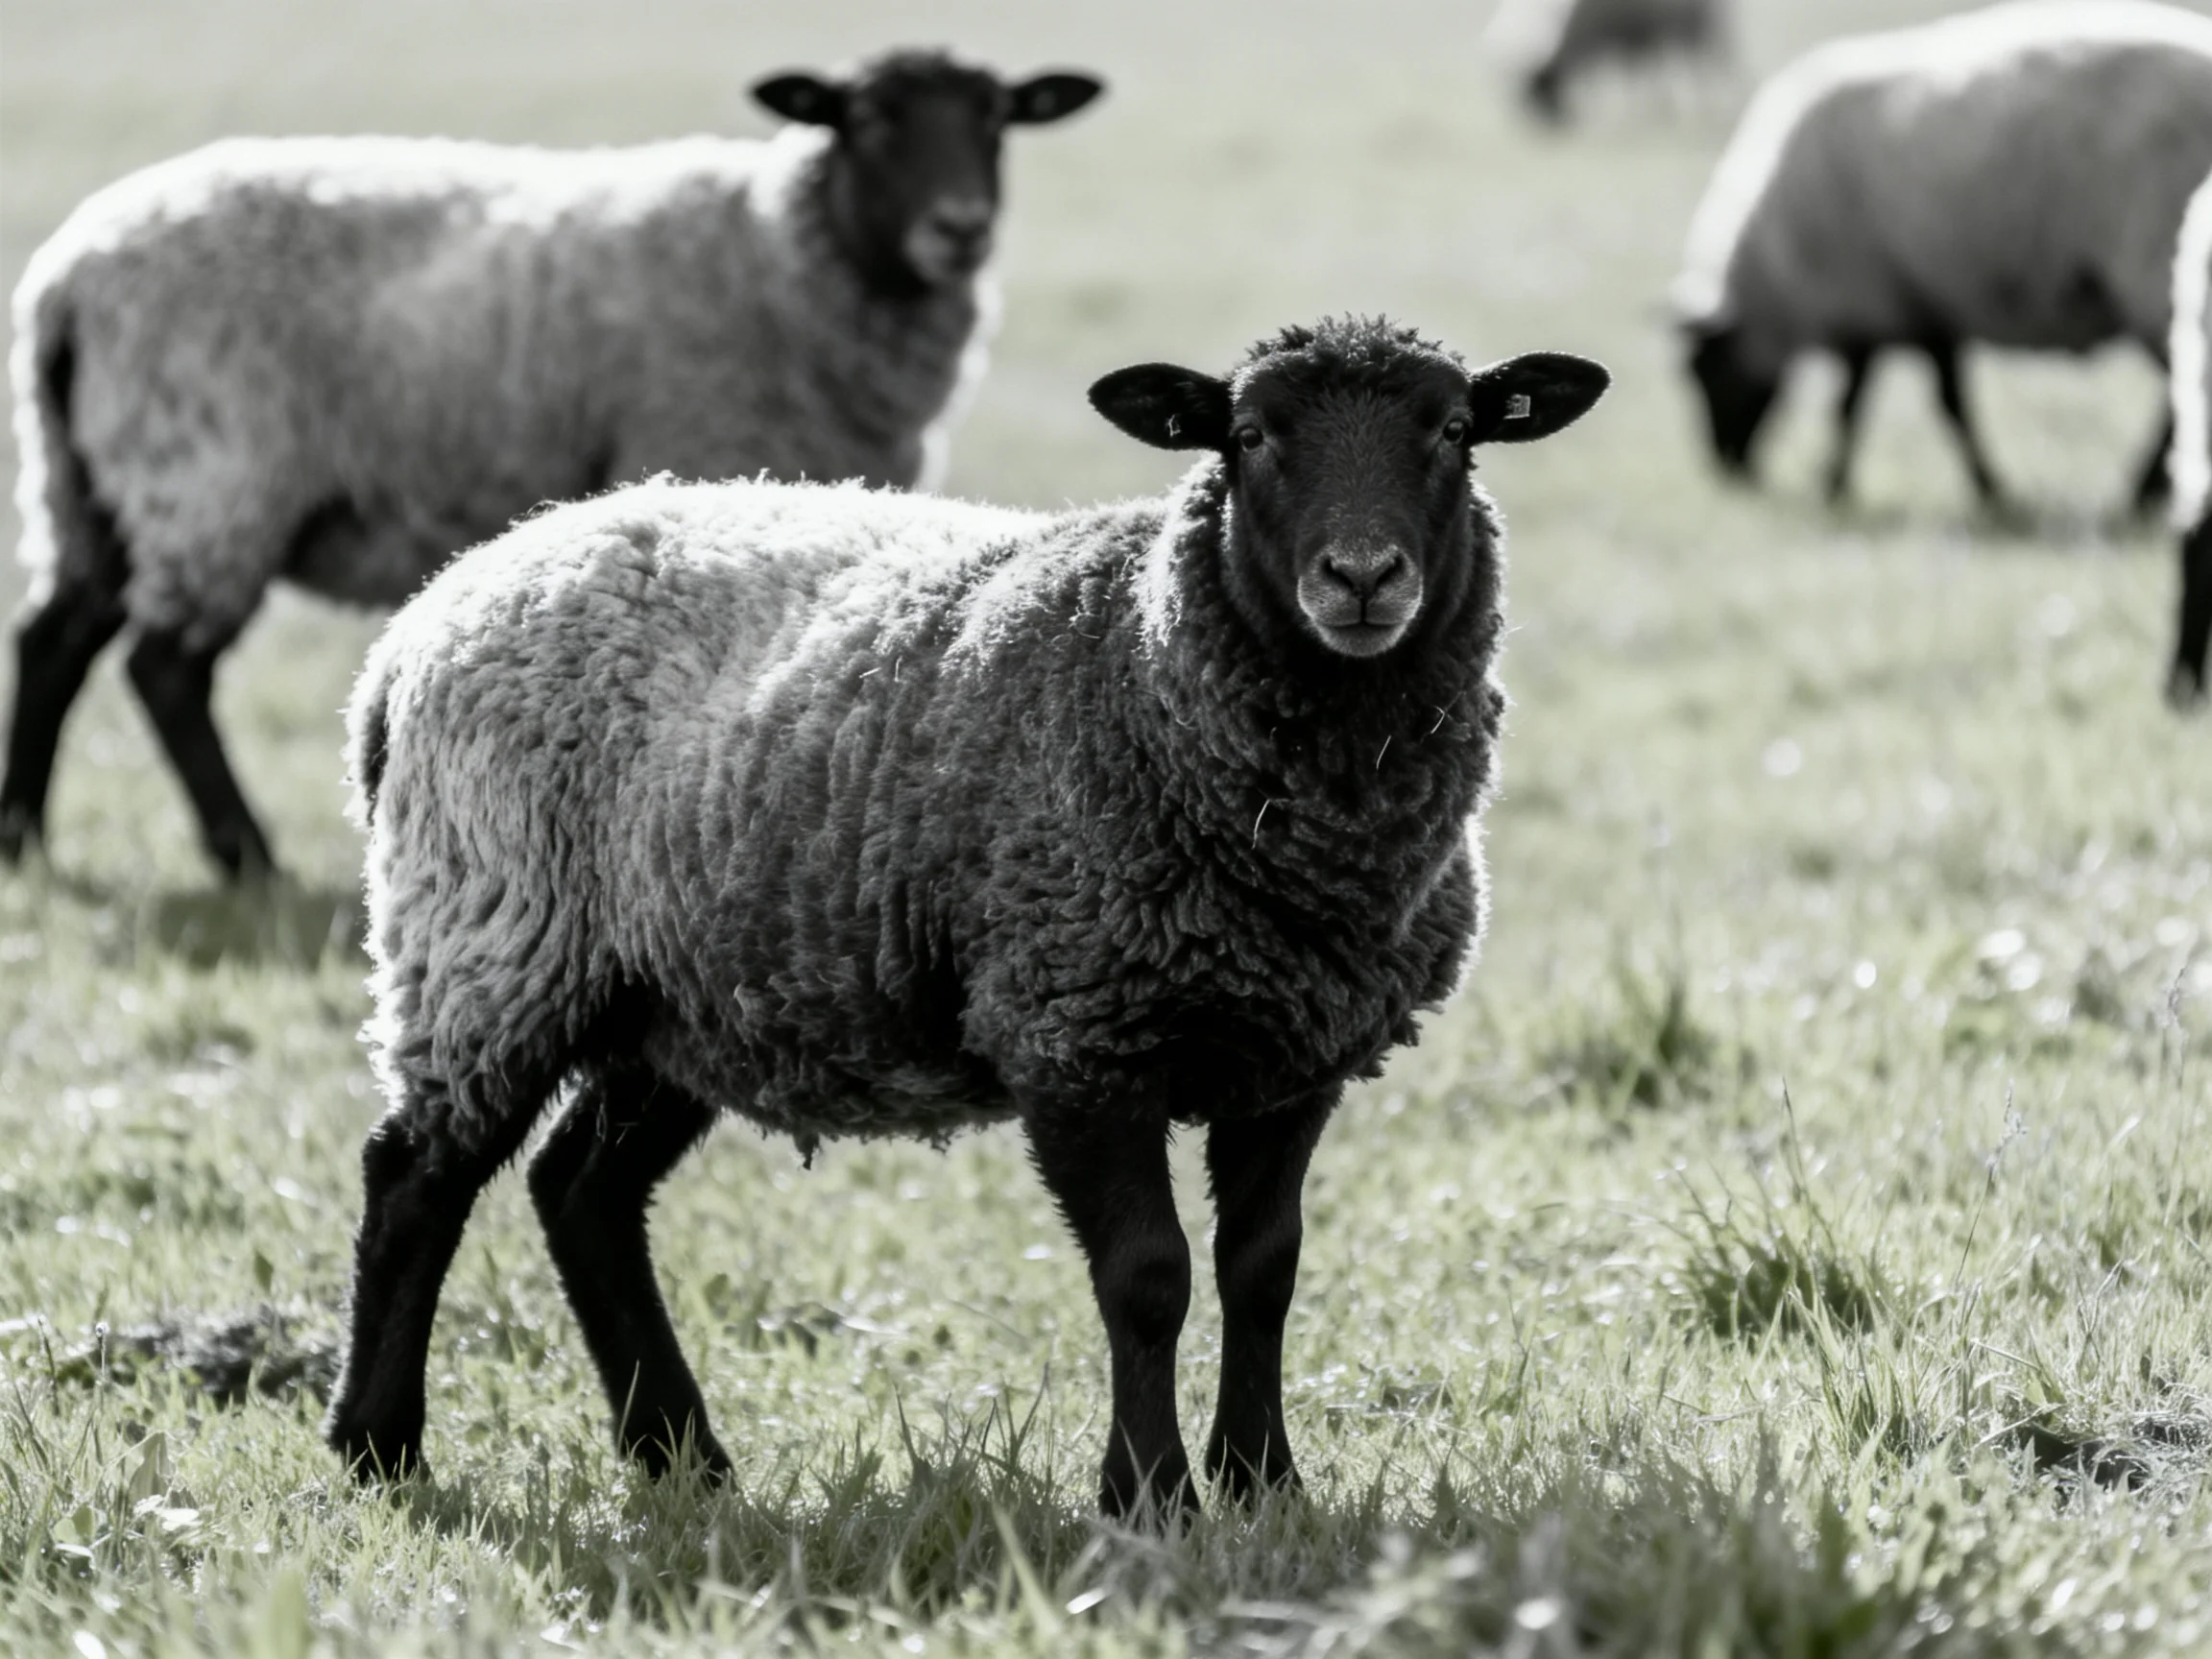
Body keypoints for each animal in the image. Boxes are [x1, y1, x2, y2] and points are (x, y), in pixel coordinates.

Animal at [0, 47, 1104, 882]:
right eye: (869, 121)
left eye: (997, 121)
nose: (960, 228)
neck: (785, 253)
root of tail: (67, 279)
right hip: (208, 476)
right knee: (163, 668)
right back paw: (246, 858)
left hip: (88, 484)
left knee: (55, 639)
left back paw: (25, 841)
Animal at [321, 316, 1610, 1517]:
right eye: (1248, 437)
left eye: (1456, 431)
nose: (1362, 577)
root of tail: (422, 623)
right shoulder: (1074, 1031)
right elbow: (1148, 1278)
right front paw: (1148, 1496)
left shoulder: (1294, 1057)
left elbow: (1263, 1271)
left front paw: (1262, 1485)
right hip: (492, 938)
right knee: (414, 1178)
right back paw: (379, 1448)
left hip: (682, 992)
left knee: (581, 1193)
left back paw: (683, 1459)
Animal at [1485, 0, 1731, 124]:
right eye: (1533, 97)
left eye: (1546, 92)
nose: (1554, 127)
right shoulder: (1629, 40)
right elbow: (1635, 75)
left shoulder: (1622, 38)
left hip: (1694, 28)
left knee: (1714, 60)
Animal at [1673, 0, 2212, 512]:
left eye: (1704, 372)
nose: (1728, 471)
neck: (1775, 272)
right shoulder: (1917, 306)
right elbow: (1915, 404)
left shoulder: (1867, 303)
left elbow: (1885, 407)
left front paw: (1842, 486)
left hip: (2154, 275)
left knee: (2179, 394)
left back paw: (2141, 491)